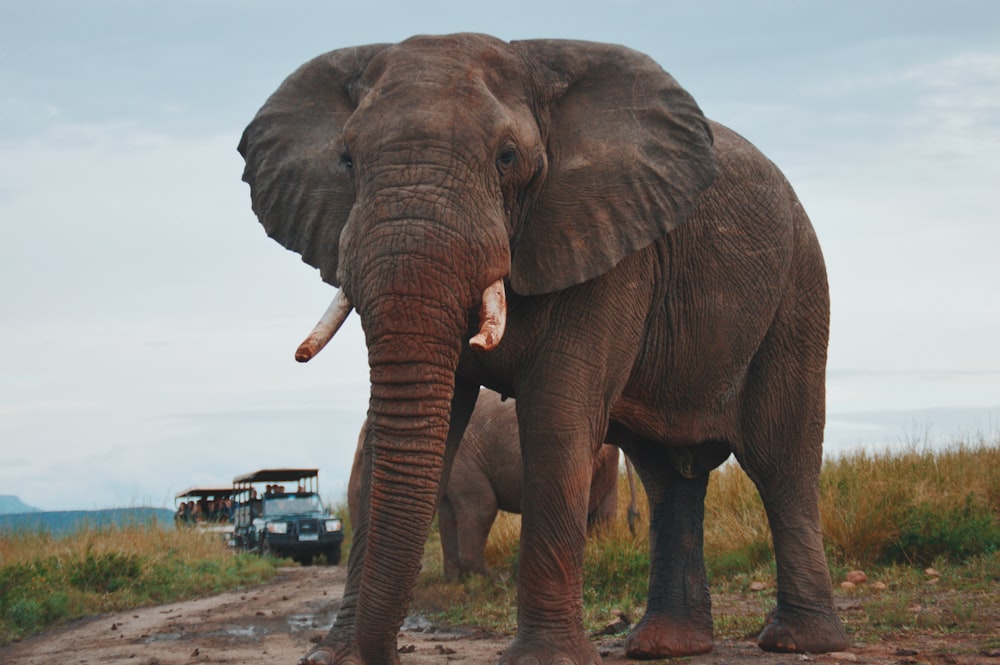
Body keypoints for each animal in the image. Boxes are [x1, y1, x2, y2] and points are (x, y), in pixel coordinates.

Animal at [346, 390, 624, 580]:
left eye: (364, 456)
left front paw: (491, 578)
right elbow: (448, 516)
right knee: (603, 516)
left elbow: (482, 508)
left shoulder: (463, 458)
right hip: (605, 468)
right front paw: (455, 581)